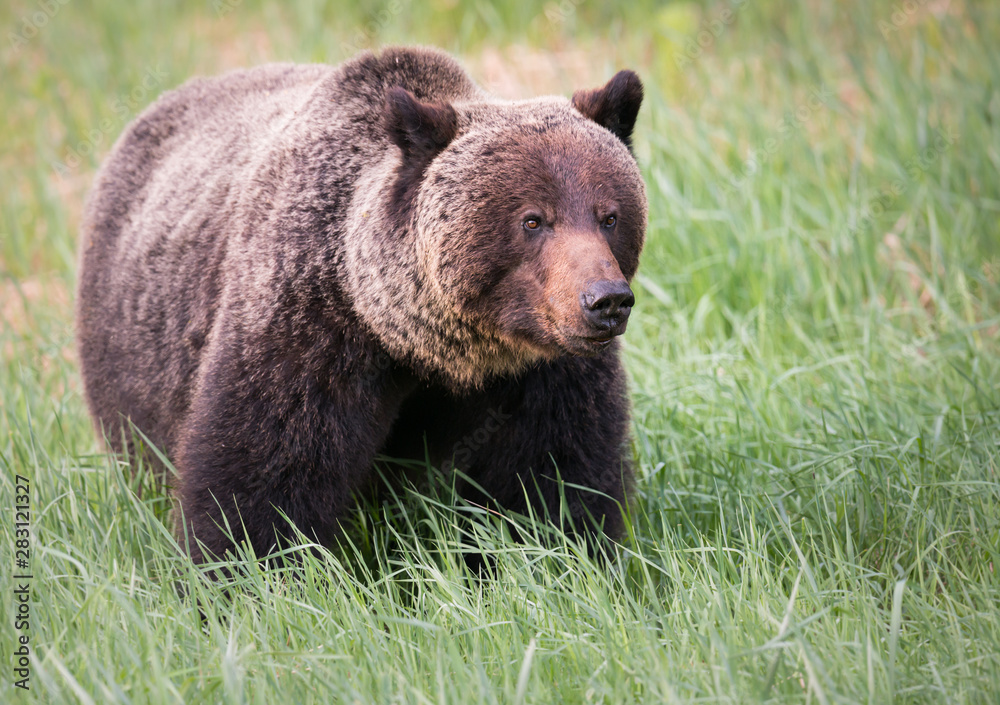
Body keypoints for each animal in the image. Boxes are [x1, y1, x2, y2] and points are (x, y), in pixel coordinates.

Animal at [74, 46, 644, 564]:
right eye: (532, 219)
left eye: (610, 215)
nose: (605, 300)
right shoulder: (308, 329)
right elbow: (263, 471)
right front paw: (245, 575)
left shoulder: (543, 371)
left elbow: (556, 475)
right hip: (132, 359)